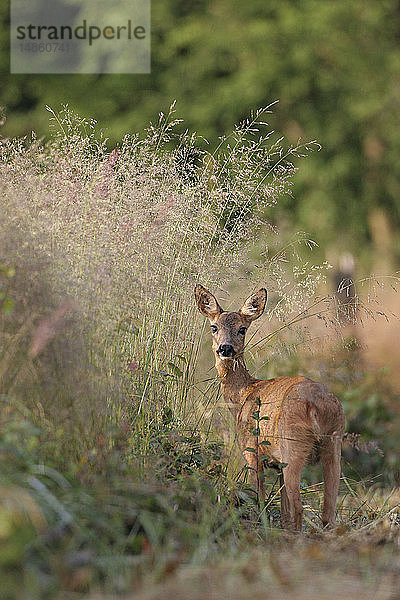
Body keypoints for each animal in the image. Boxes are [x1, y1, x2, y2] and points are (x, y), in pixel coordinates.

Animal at [195, 284, 346, 532]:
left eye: (242, 329)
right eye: (214, 327)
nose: (225, 348)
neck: (243, 395)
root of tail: (317, 404)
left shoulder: (251, 451)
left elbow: (260, 499)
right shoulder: (277, 463)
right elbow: (283, 511)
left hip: (292, 443)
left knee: (299, 507)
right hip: (333, 443)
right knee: (328, 513)